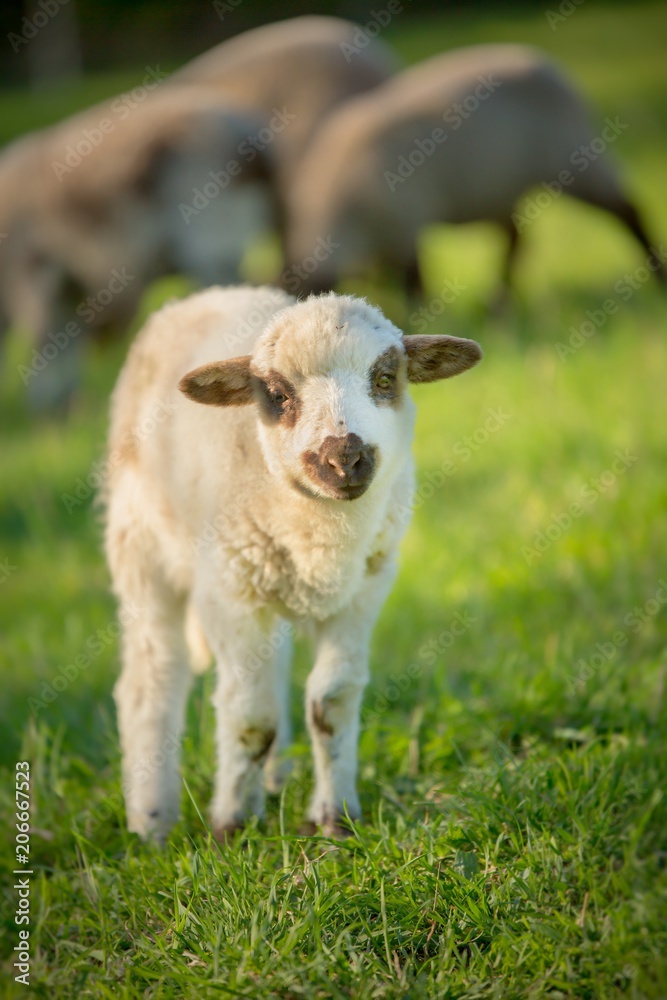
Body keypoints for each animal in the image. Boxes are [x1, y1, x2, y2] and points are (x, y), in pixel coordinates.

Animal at [103, 284, 482, 842]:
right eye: (278, 396)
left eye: (384, 379)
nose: (345, 458)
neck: (323, 539)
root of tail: (206, 295)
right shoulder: (229, 593)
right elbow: (250, 715)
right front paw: (231, 826)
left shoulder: (364, 590)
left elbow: (332, 701)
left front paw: (336, 816)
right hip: (142, 547)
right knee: (152, 678)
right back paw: (152, 819)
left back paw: (273, 778)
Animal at [284, 43, 665, 298]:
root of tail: (547, 64)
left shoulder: (405, 226)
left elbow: (414, 283)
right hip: (500, 189)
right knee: (516, 239)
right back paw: (500, 305)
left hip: (574, 159)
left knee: (628, 209)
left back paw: (658, 276)